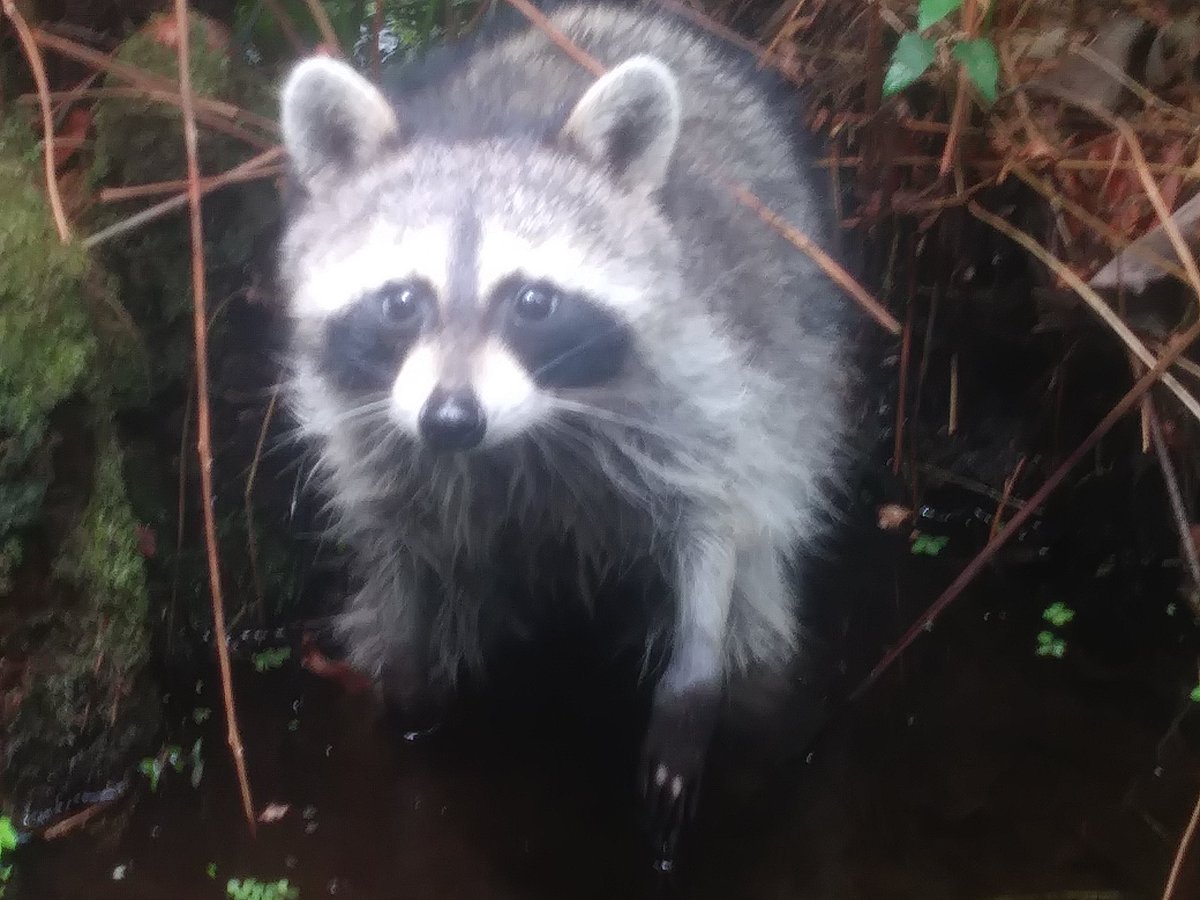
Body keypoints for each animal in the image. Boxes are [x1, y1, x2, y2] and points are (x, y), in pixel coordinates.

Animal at [278, 0, 849, 849]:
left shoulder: (704, 388)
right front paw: (409, 678)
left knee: (759, 605)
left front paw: (692, 678)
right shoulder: (372, 428)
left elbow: (714, 518)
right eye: (401, 301)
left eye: (533, 302)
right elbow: (399, 545)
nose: (452, 419)